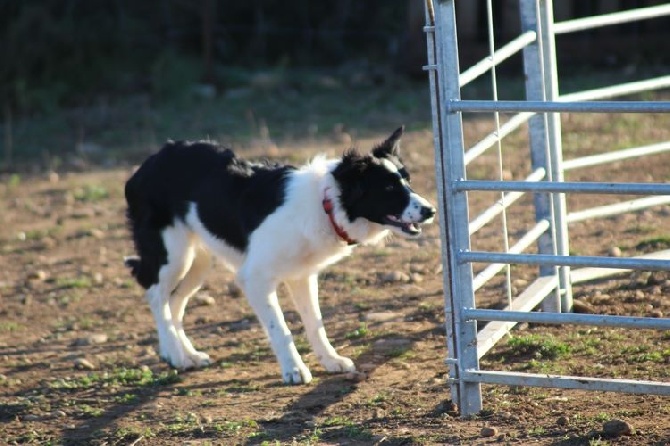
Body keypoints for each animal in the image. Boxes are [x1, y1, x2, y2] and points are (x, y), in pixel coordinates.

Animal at [124, 126, 440, 384]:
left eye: (408, 181)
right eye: (387, 187)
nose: (431, 211)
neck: (325, 205)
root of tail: (149, 163)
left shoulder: (303, 276)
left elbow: (315, 323)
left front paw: (330, 360)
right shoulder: (254, 279)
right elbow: (280, 328)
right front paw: (294, 370)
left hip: (198, 259)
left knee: (174, 300)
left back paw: (185, 354)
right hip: (173, 255)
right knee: (156, 295)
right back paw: (174, 355)